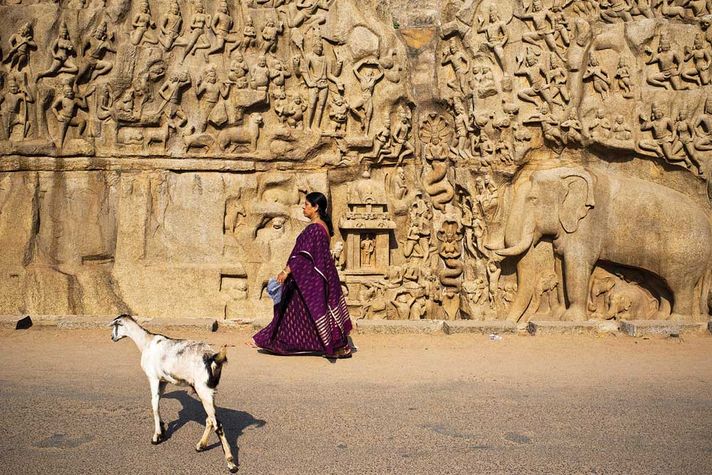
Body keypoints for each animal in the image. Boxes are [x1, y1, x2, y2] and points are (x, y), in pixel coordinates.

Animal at [108, 314, 236, 474]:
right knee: (210, 420)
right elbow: (158, 402)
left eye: (116, 325)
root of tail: (213, 357)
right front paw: (162, 429)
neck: (146, 342)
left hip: (203, 390)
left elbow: (154, 404)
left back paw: (231, 463)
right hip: (208, 391)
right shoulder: (163, 381)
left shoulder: (153, 378)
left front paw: (156, 437)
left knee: (217, 424)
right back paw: (200, 446)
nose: (112, 337)